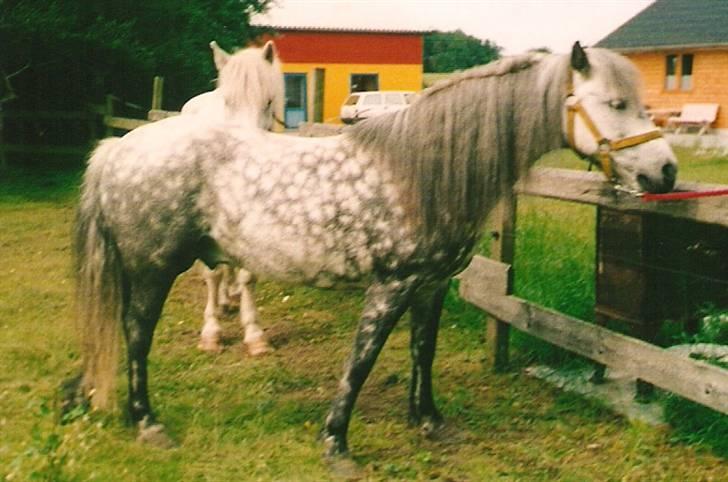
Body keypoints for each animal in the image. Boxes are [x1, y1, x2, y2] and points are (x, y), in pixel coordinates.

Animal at [181, 39, 282, 354]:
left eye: (268, 102)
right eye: (228, 102)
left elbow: (247, 274)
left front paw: (254, 335)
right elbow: (212, 274)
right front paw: (211, 332)